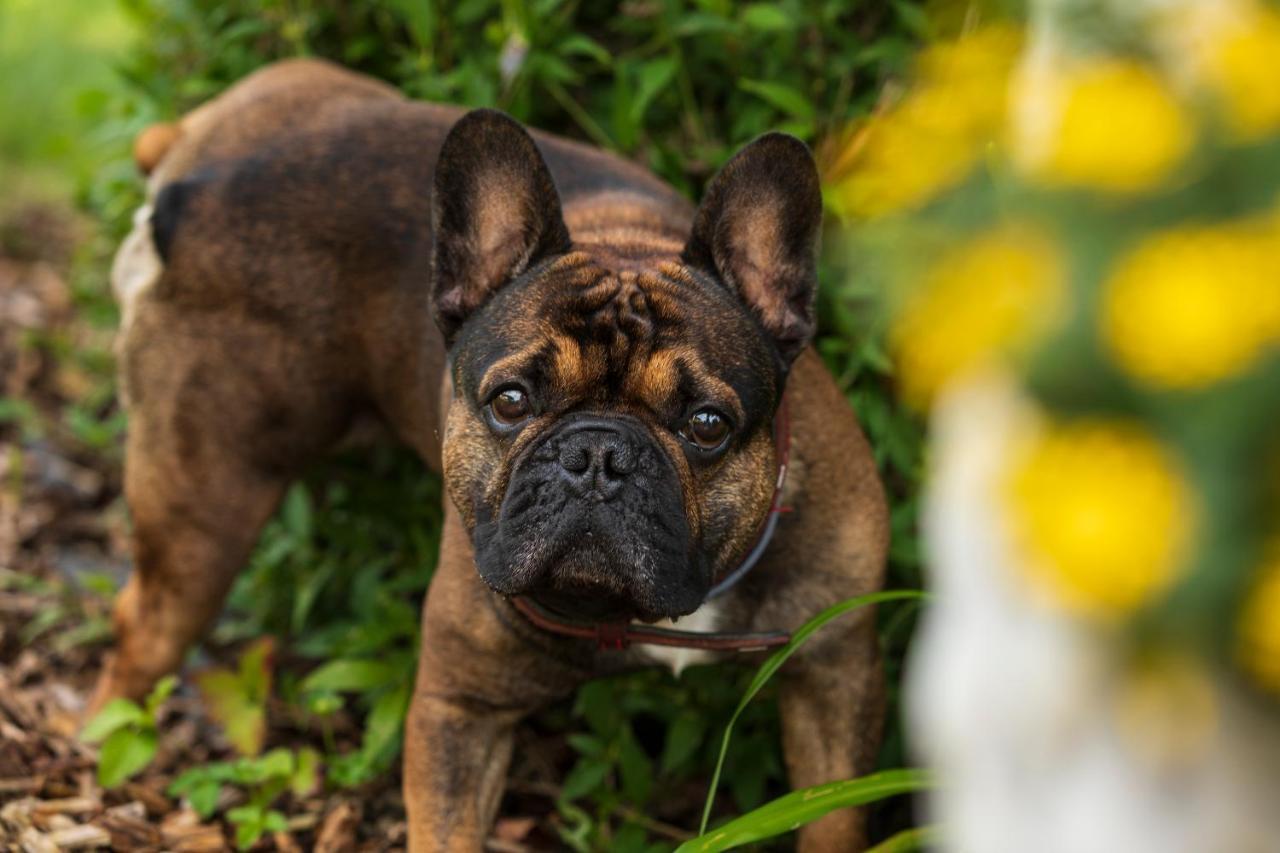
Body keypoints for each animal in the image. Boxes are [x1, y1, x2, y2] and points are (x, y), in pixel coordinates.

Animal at [97, 61, 890, 850]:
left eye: (707, 424)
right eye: (509, 401)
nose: (597, 454)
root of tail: (198, 168)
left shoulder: (835, 670)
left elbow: (833, 819)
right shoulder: (460, 708)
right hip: (208, 500)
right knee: (145, 625)